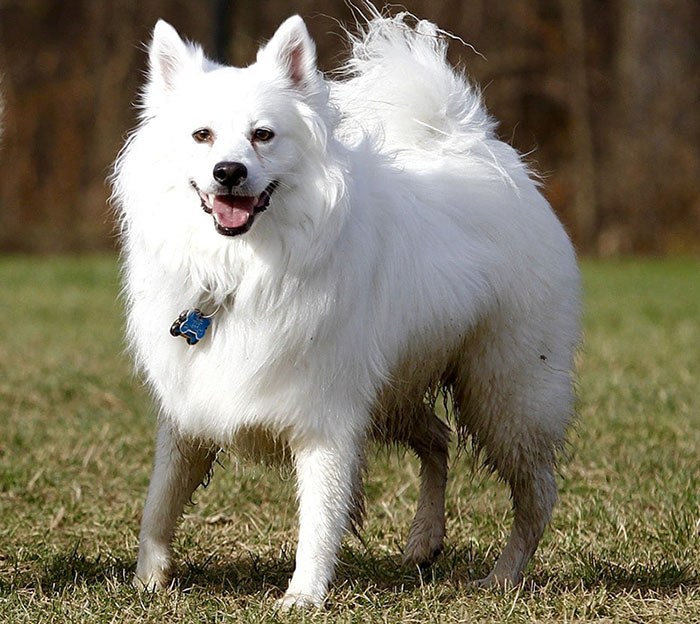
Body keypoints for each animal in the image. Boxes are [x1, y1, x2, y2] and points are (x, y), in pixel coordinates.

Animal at [110, 11, 580, 608]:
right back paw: (424, 540)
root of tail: (480, 152)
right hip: (397, 391)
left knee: (536, 495)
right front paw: (148, 580)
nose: (229, 172)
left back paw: (502, 576)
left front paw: (303, 598)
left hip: (505, 395)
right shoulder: (190, 408)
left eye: (263, 135)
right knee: (438, 440)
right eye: (202, 135)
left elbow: (319, 514)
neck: (240, 271)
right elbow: (160, 500)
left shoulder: (326, 418)